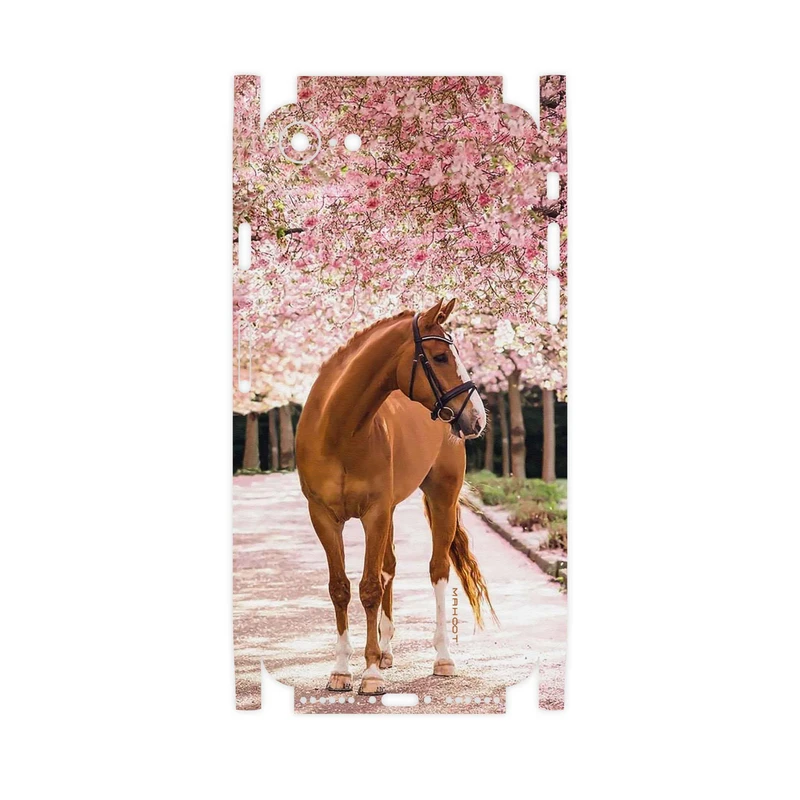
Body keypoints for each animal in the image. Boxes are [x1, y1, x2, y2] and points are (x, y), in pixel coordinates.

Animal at [295, 298, 496, 695]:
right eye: (439, 357)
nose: (477, 418)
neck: (338, 430)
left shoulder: (374, 513)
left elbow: (370, 588)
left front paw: (370, 674)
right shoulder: (324, 517)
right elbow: (340, 588)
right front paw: (341, 670)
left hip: (441, 497)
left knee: (437, 570)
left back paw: (442, 658)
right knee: (389, 567)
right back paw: (386, 651)